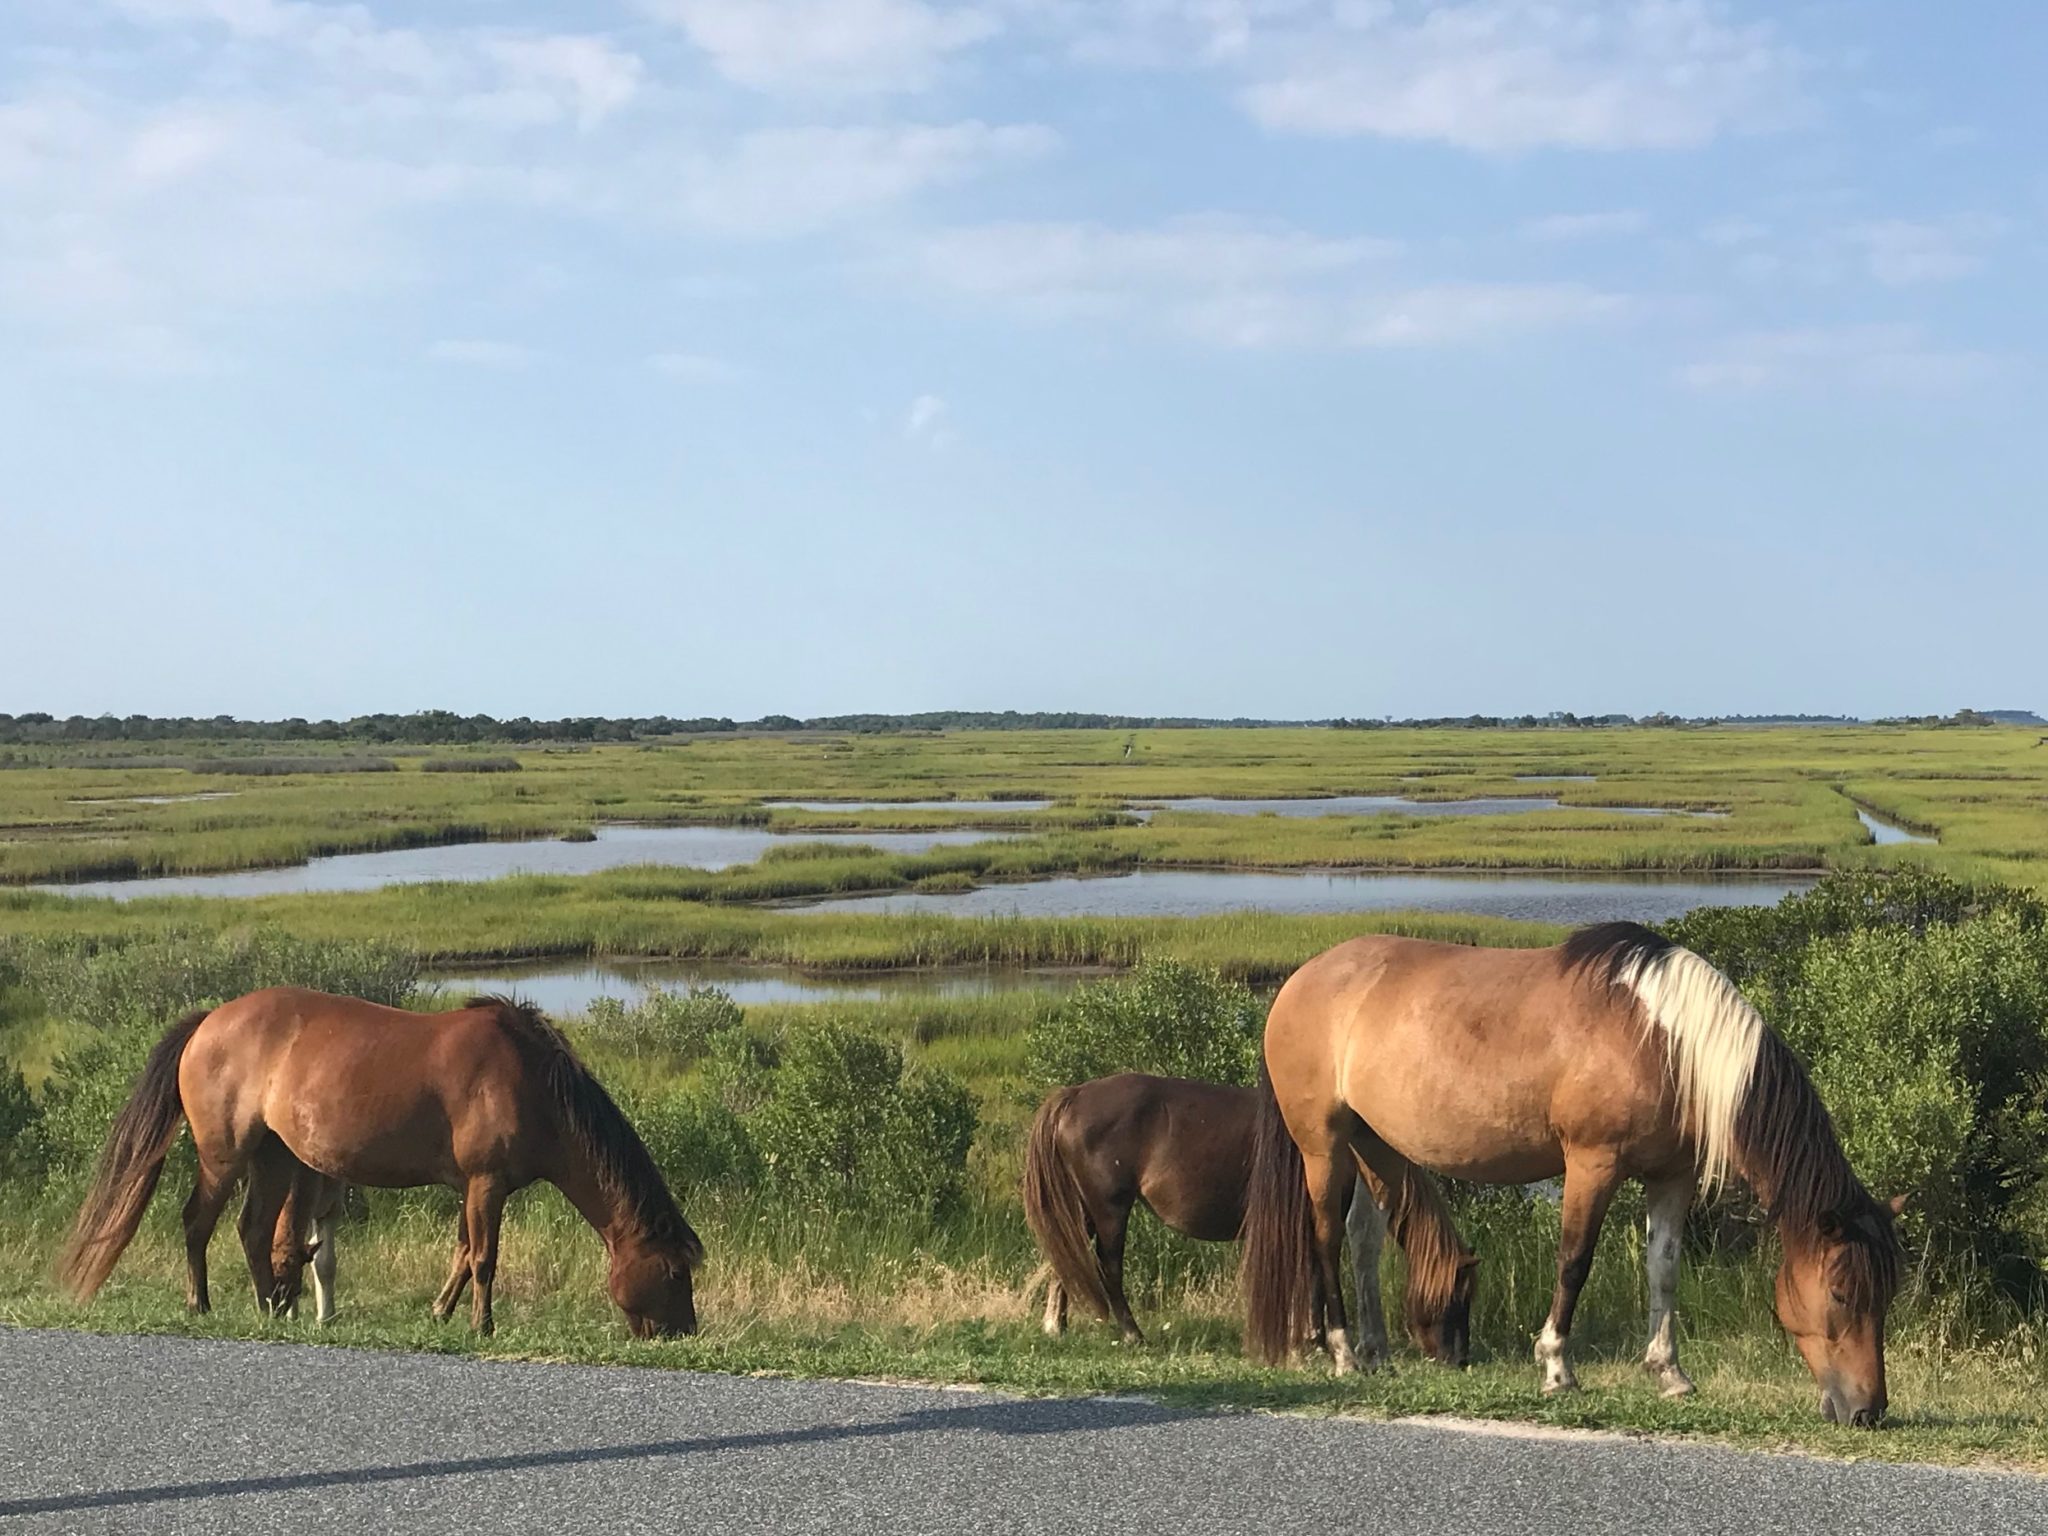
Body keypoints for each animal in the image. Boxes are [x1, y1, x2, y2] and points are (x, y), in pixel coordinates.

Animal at [61, 991, 704, 1343]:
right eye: (675, 1273)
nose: (685, 1334)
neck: (530, 1081)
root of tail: (209, 1021)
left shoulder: (472, 1187)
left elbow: (462, 1253)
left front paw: (442, 1312)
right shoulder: (487, 1183)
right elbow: (485, 1259)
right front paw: (482, 1325)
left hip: (273, 1156)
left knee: (253, 1228)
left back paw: (272, 1306)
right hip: (225, 1155)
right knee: (197, 1222)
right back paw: (201, 1304)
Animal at [1019, 1073, 1474, 1368]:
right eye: (1458, 1296)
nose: (1458, 1360)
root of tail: (1074, 1095)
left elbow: (1312, 1273)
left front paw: (1311, 1339)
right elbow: (1317, 1274)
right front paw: (1317, 1341)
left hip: (1086, 1208)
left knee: (1068, 1261)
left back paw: (1056, 1325)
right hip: (1111, 1208)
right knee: (1108, 1268)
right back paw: (1132, 1333)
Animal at [1228, 925, 1900, 1433]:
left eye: (1886, 1296)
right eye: (1842, 1293)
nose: (1867, 1411)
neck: (1667, 1041)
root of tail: (1301, 980)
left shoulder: (1672, 1177)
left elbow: (1665, 1269)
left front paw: (1670, 1373)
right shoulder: (1591, 1164)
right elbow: (1575, 1262)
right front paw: (1556, 1369)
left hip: (1373, 1144)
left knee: (1364, 1242)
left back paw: (1376, 1355)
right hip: (1323, 1145)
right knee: (1324, 1238)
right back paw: (1342, 1351)